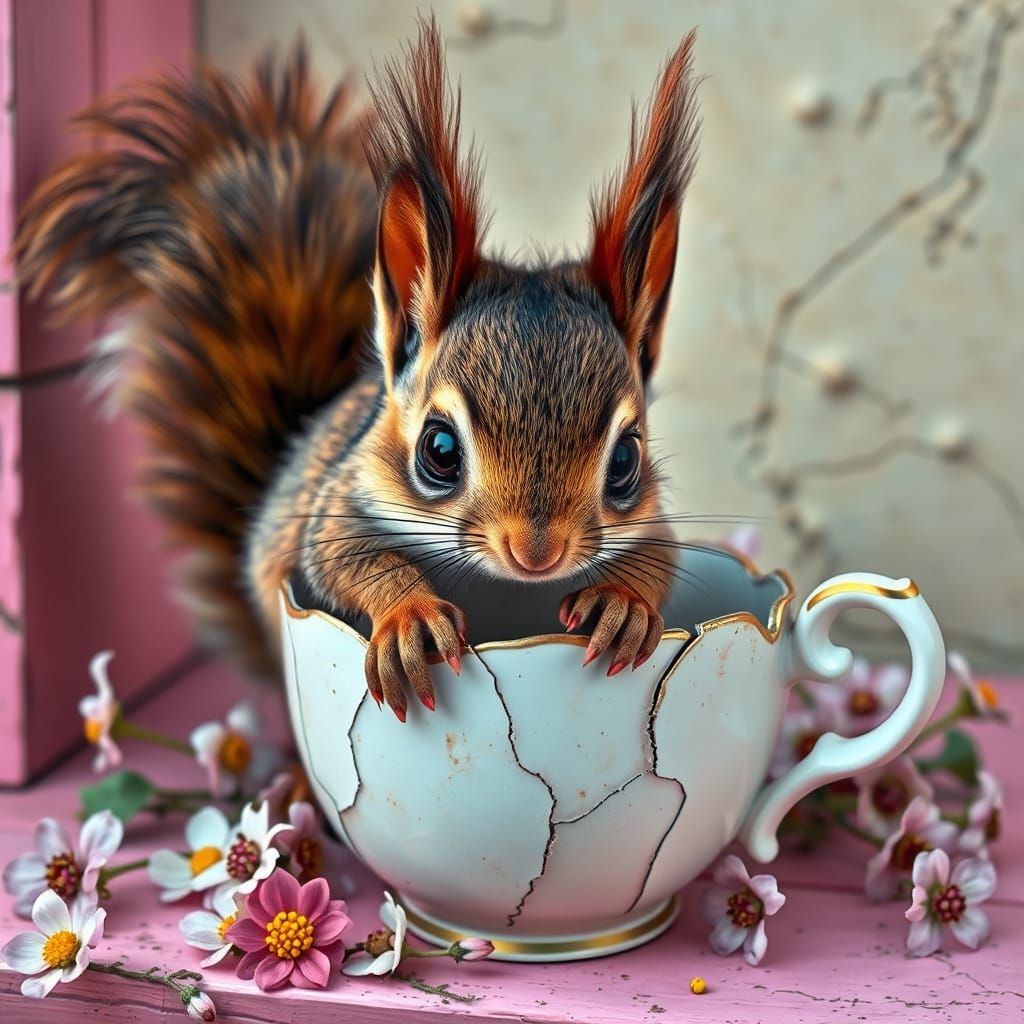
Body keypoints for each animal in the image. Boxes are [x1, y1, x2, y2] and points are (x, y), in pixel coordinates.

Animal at [15, 18, 700, 721]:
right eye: (439, 450)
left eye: (626, 460)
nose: (536, 553)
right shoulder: (338, 504)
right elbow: (345, 557)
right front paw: (409, 618)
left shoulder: (651, 521)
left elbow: (660, 555)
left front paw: (624, 603)